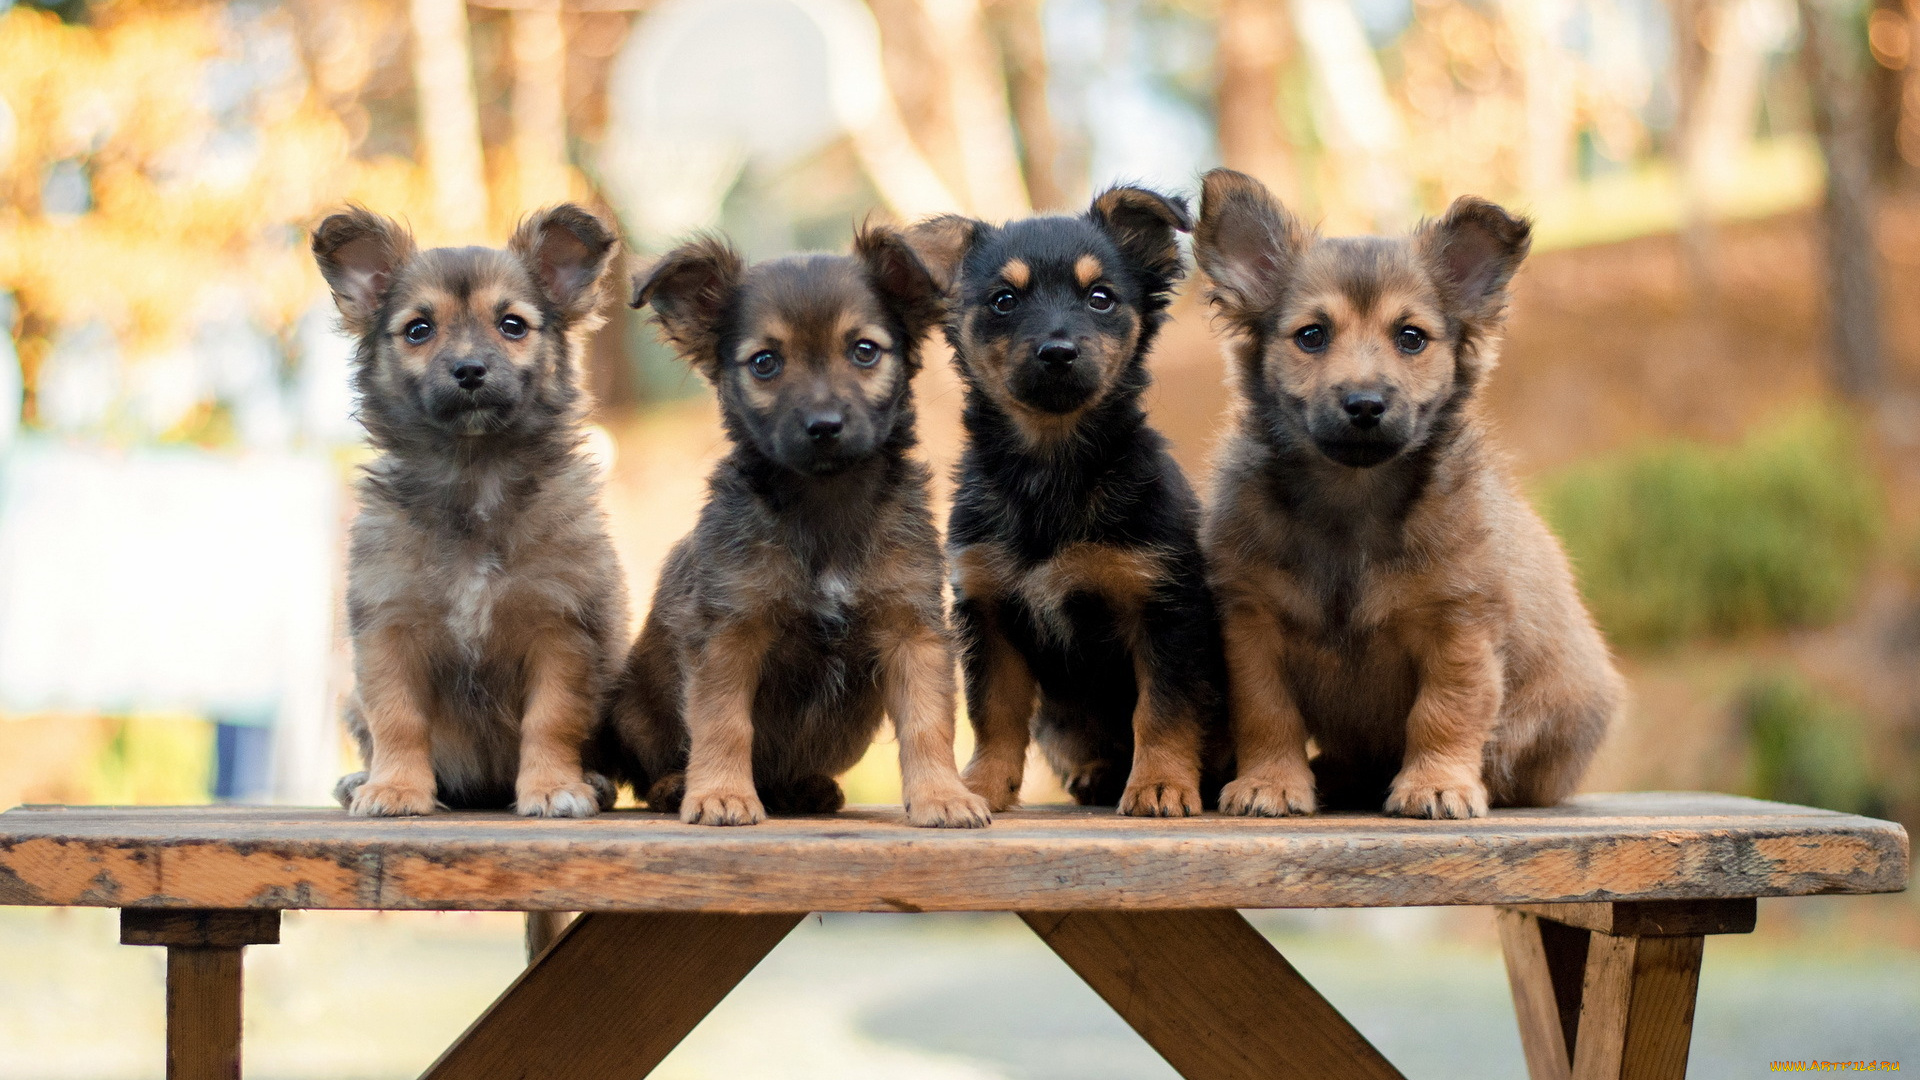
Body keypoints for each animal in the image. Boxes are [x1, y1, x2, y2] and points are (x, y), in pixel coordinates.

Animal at [312, 201, 629, 814]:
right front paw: (395, 789)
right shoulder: (389, 627)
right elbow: (396, 720)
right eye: (419, 329)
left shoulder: (561, 628)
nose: (469, 371)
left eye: (513, 325)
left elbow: (552, 719)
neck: (474, 474)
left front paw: (553, 787)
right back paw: (360, 779)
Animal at [606, 226, 990, 826]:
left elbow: (928, 724)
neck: (823, 500)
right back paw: (677, 786)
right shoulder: (729, 630)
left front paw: (942, 796)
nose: (824, 426)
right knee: (651, 770)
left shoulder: (913, 628)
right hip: (632, 710)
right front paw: (721, 793)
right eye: (765, 362)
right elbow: (723, 722)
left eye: (864, 351)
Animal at [910, 189, 1236, 810]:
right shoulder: (990, 612)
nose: (1057, 351)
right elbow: (995, 712)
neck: (1052, 469)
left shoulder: (1164, 609)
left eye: (1100, 298)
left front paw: (1160, 784)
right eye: (1004, 301)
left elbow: (1161, 709)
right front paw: (982, 787)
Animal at [1198, 168, 1620, 814]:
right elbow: (1266, 712)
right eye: (1311, 336)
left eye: (1412, 338)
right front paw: (1269, 782)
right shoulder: (1251, 625)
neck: (1351, 497)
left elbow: (1443, 713)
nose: (1365, 404)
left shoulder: (1459, 626)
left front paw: (1437, 784)